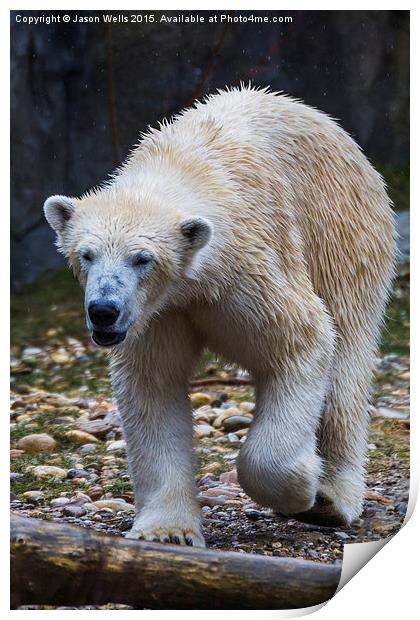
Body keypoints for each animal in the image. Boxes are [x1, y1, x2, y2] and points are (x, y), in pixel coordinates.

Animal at [44, 87, 396, 548]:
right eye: (86, 254)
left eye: (142, 258)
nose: (104, 310)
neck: (181, 169)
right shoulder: (160, 313)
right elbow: (153, 385)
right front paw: (167, 531)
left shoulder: (245, 272)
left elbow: (303, 341)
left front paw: (302, 488)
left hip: (343, 236)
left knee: (346, 363)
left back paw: (331, 498)